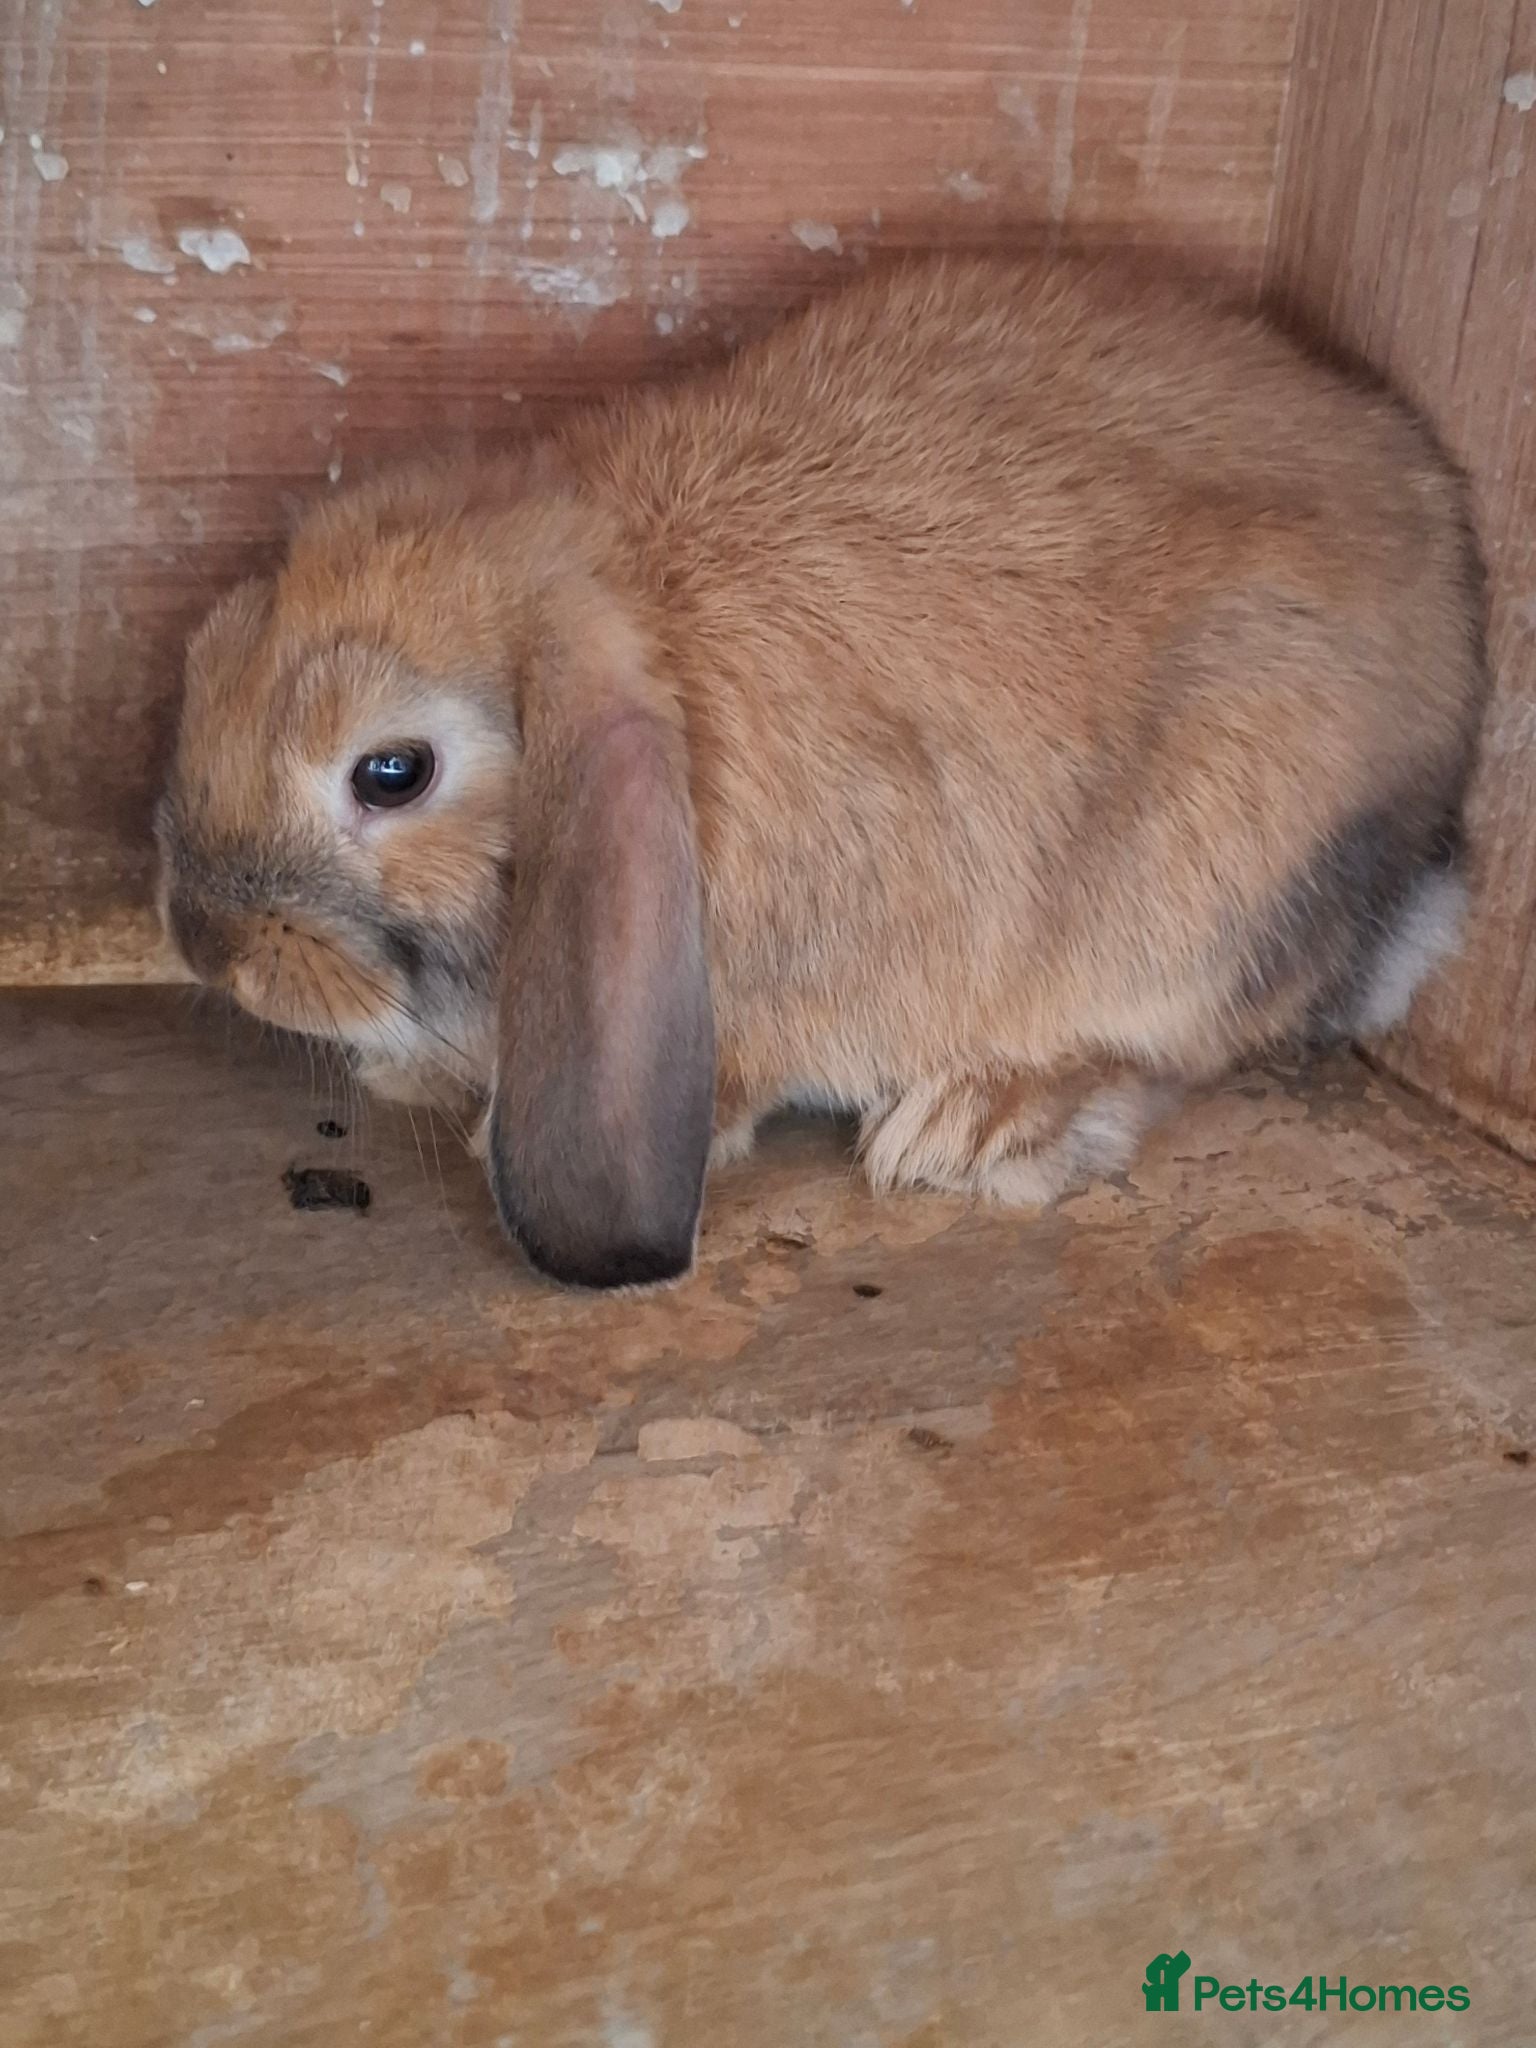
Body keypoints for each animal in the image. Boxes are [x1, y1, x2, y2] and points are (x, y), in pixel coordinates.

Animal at [158, 253, 1488, 1289]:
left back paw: (970, 1123)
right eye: (211, 646)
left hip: (1197, 888)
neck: (639, 608)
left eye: (392, 772)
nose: (203, 942)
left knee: (1181, 1047)